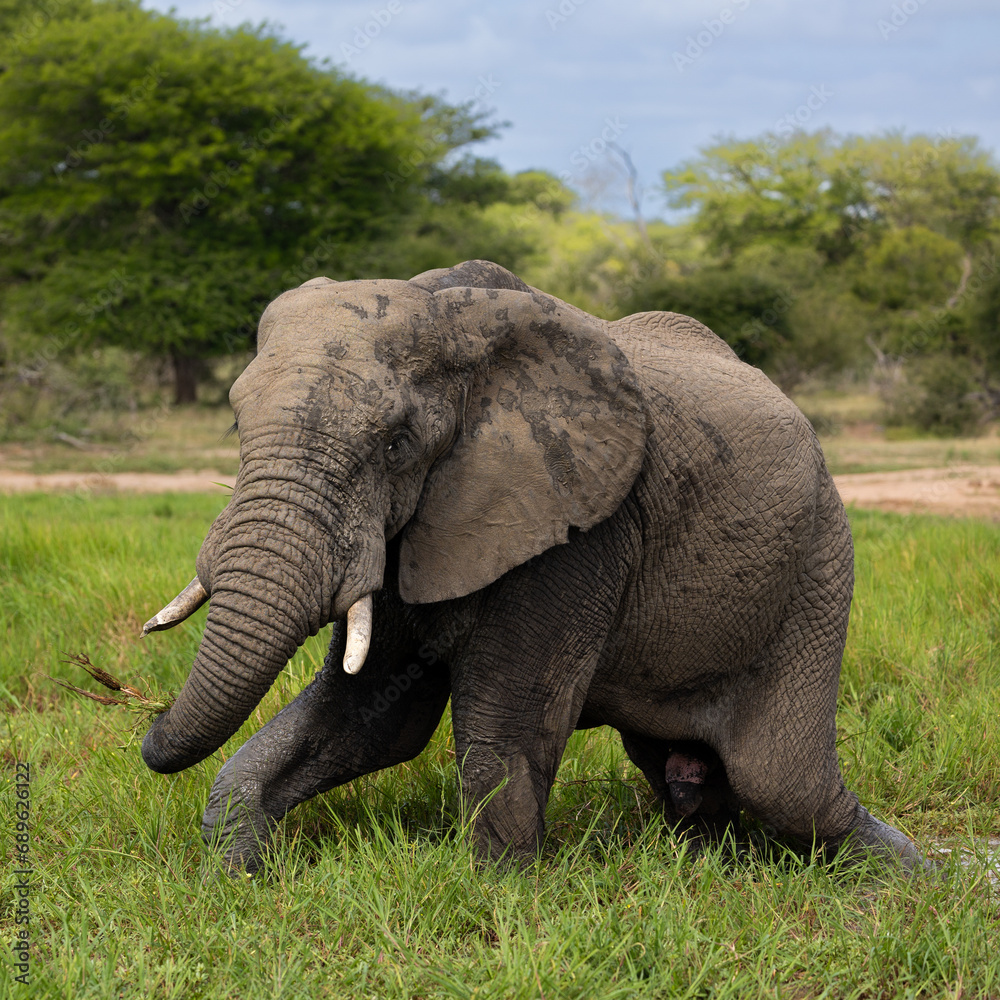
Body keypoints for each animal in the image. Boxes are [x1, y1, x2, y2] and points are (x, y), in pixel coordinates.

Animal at [140, 259, 924, 873]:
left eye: (397, 443)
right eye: (236, 423)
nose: (146, 727)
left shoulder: (582, 525)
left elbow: (502, 724)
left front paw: (501, 892)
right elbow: (370, 716)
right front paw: (236, 874)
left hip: (819, 557)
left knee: (782, 782)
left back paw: (911, 875)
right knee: (688, 770)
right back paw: (712, 858)